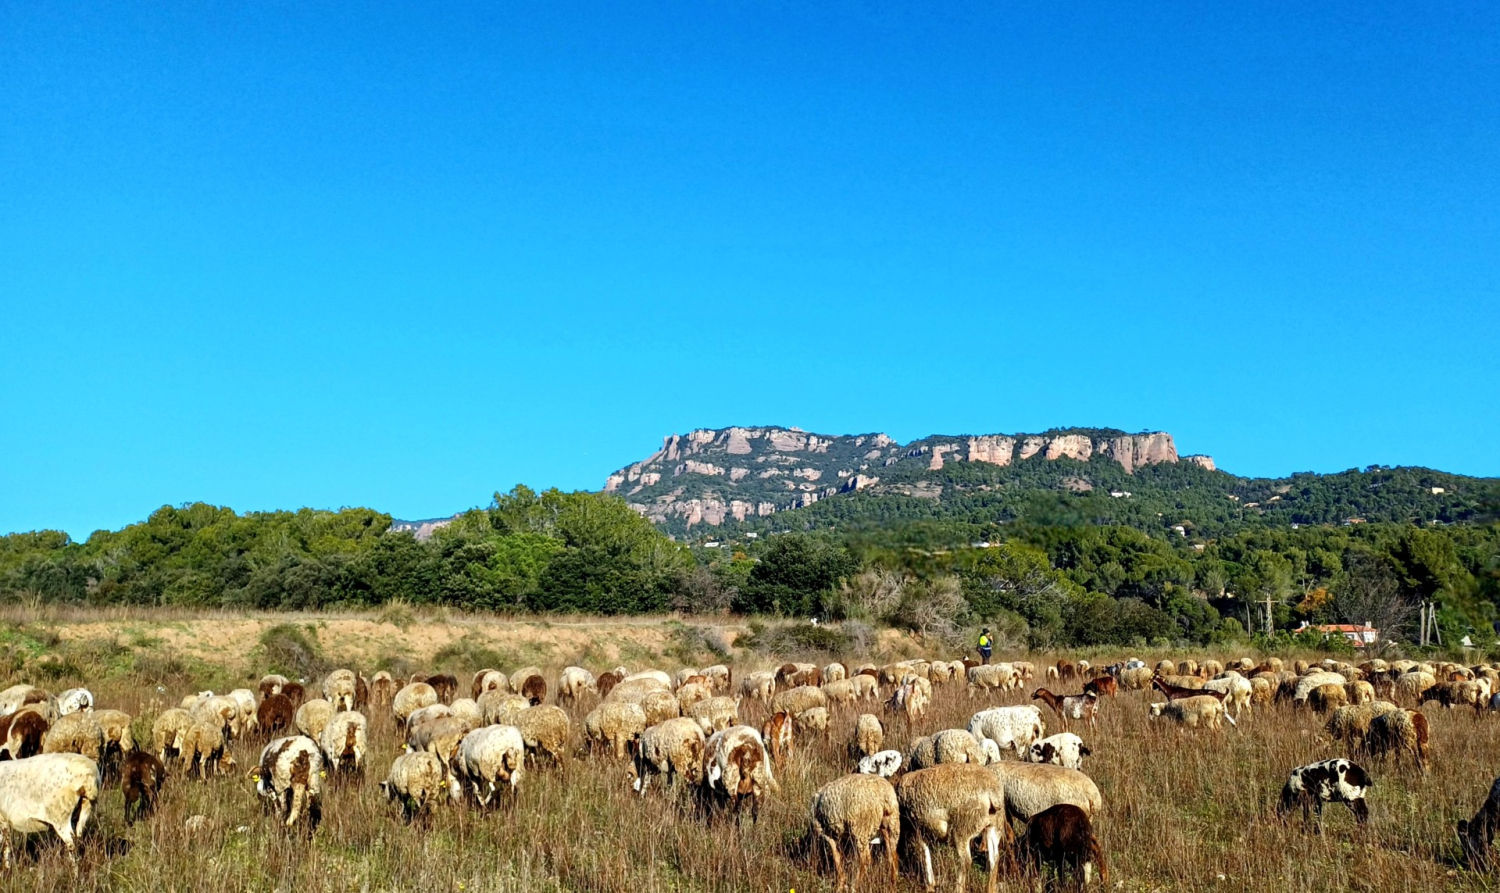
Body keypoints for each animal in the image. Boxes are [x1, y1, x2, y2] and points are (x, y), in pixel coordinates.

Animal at [895, 763, 1008, 893]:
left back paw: (958, 888)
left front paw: (929, 885)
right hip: (994, 826)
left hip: (963, 827)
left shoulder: (917, 828)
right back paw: (990, 888)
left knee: (965, 860)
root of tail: (991, 792)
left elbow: (924, 853)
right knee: (994, 858)